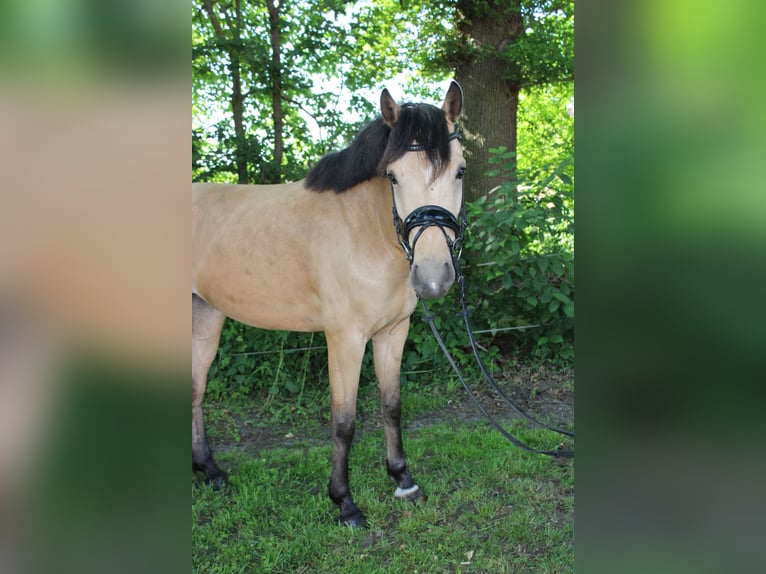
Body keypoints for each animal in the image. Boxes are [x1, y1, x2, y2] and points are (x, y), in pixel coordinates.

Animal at [195, 82, 464, 532]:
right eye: (393, 175)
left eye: (459, 171)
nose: (432, 277)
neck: (365, 229)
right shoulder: (345, 340)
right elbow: (344, 422)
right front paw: (345, 503)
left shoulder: (394, 332)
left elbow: (392, 406)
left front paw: (403, 480)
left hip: (206, 317)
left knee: (195, 389)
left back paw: (209, 471)